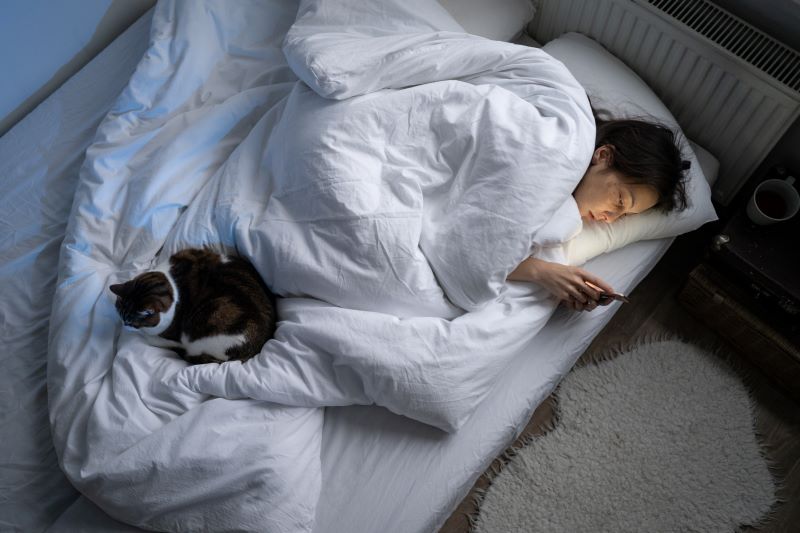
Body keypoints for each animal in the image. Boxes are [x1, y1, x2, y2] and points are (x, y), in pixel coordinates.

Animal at [109, 247, 278, 364]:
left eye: (132, 322)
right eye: (121, 315)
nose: (125, 325)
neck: (173, 282)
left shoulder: (171, 337)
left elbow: (153, 338)